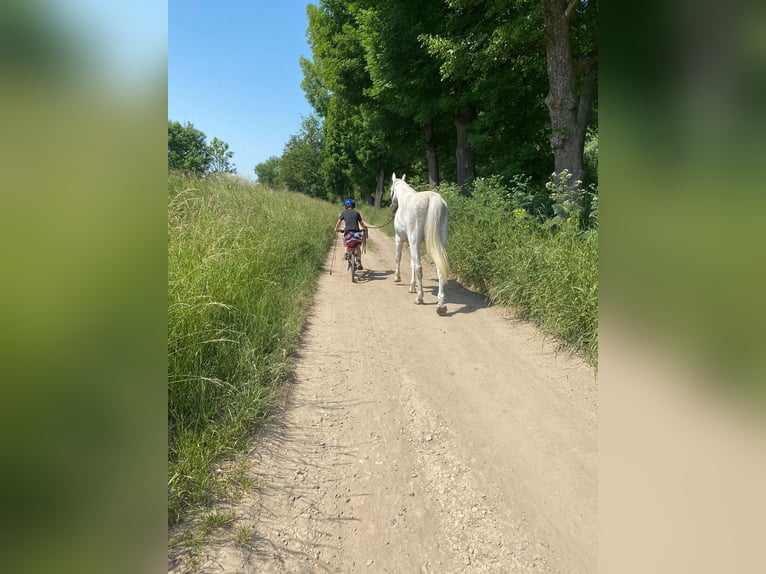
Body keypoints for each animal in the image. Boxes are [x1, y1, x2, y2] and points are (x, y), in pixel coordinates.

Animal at [390, 173, 450, 318]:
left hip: (413, 240)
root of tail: (432, 198)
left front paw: (397, 278)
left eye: (391, 190)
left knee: (419, 267)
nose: (392, 208)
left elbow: (399, 258)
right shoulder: (412, 244)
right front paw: (412, 287)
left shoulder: (400, 239)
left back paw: (420, 298)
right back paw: (440, 305)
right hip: (440, 243)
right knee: (440, 269)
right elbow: (411, 263)